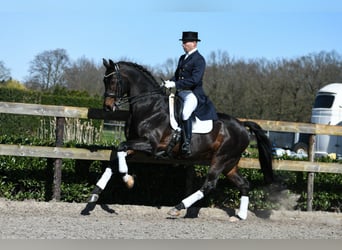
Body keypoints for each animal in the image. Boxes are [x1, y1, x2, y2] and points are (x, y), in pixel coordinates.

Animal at [83, 57, 276, 220]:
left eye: (113, 81)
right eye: (104, 81)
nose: (108, 107)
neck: (149, 107)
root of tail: (242, 125)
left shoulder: (150, 145)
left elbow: (120, 149)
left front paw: (127, 179)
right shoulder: (135, 144)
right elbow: (116, 155)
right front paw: (94, 194)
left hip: (221, 159)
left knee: (209, 184)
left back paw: (178, 207)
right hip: (230, 163)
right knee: (244, 184)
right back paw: (240, 216)